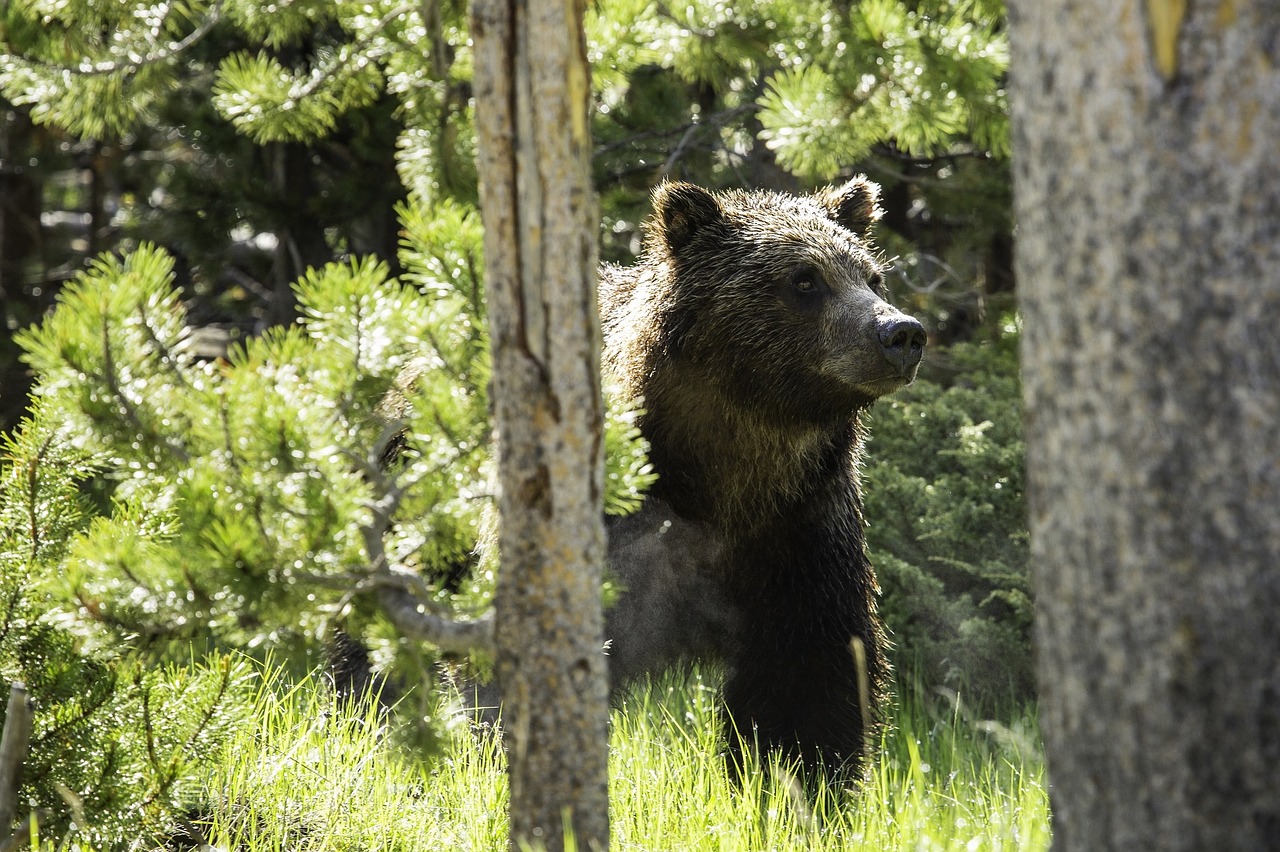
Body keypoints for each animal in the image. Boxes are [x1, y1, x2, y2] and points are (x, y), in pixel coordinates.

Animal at [593, 175, 926, 772]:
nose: (901, 333)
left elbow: (809, 679)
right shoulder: (630, 522)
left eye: (872, 276)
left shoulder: (800, 532)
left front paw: (797, 776)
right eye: (805, 279)